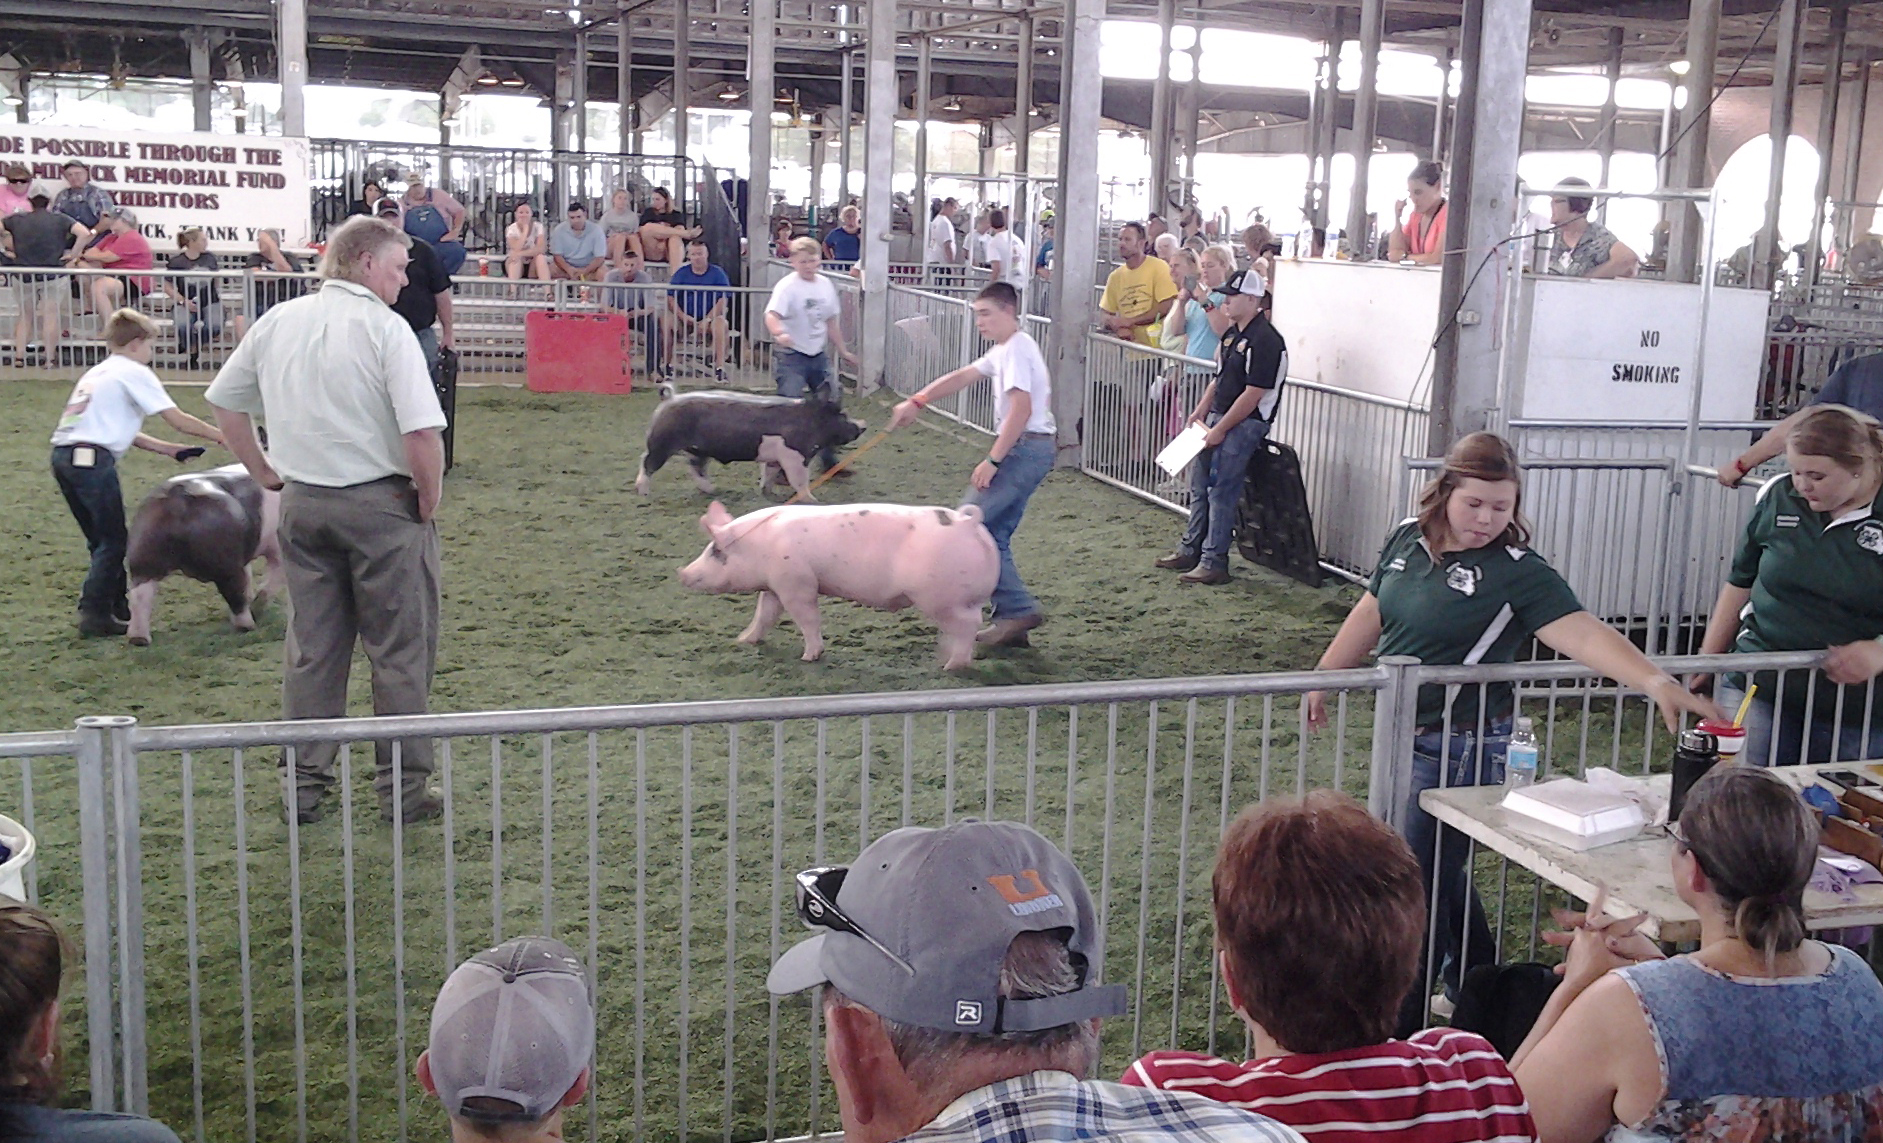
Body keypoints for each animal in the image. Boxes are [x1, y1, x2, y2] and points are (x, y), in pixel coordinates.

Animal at [125, 463, 282, 643]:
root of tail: (178, 500)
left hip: (143, 549)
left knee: (139, 595)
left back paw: (138, 639)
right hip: (225, 561)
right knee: (234, 592)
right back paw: (247, 626)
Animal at [632, 391, 866, 497]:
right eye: (842, 414)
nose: (863, 425)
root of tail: (669, 400)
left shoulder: (774, 458)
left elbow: (769, 473)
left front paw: (767, 492)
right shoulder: (795, 455)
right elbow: (800, 480)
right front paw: (813, 500)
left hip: (698, 450)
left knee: (696, 468)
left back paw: (712, 490)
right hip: (662, 442)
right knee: (647, 462)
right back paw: (643, 492)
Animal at [677, 500, 1001, 670]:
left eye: (715, 551)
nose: (682, 572)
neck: (759, 545)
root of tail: (968, 524)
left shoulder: (797, 583)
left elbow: (807, 618)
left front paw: (809, 657)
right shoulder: (774, 585)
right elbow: (764, 615)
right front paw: (743, 640)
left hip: (941, 599)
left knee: (969, 625)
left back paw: (951, 665)